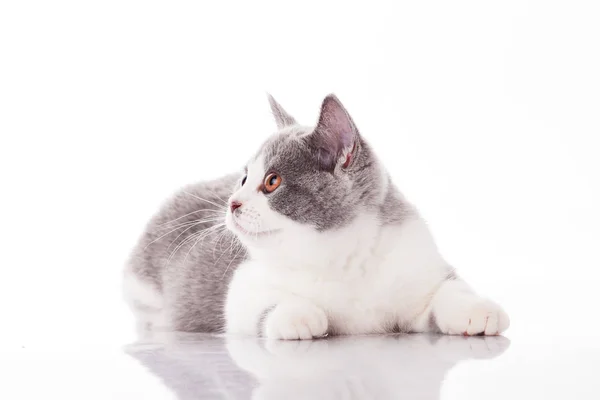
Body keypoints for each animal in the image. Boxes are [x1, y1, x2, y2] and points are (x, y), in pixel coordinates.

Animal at [123, 93, 510, 338]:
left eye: (272, 181)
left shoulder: (417, 261)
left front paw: (476, 309)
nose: (232, 203)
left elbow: (447, 288)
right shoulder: (244, 283)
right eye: (244, 178)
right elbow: (257, 300)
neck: (342, 257)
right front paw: (298, 315)